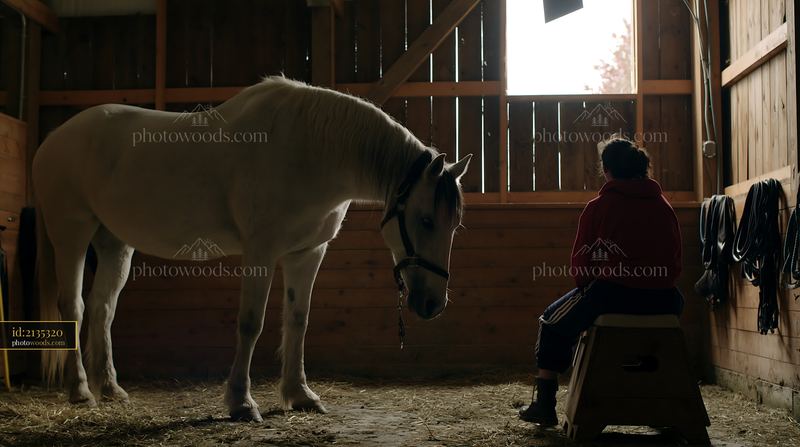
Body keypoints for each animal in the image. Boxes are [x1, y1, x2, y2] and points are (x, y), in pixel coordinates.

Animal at [33, 76, 471, 421]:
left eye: (453, 224)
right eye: (425, 220)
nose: (432, 305)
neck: (310, 151)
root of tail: (53, 140)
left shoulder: (307, 254)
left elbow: (298, 320)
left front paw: (299, 394)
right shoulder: (261, 251)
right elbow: (251, 323)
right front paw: (241, 402)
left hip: (114, 242)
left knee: (103, 308)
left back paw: (110, 389)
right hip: (71, 234)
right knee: (75, 307)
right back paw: (81, 391)